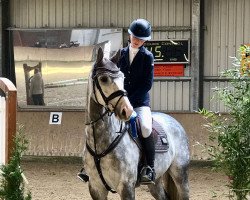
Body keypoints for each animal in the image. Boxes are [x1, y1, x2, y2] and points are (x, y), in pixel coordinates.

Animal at [84, 47, 189, 199]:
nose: (127, 110)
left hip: (180, 174)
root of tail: (174, 121)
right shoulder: (96, 188)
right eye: (103, 79)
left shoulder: (126, 187)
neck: (100, 144)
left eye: (122, 78)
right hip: (156, 181)